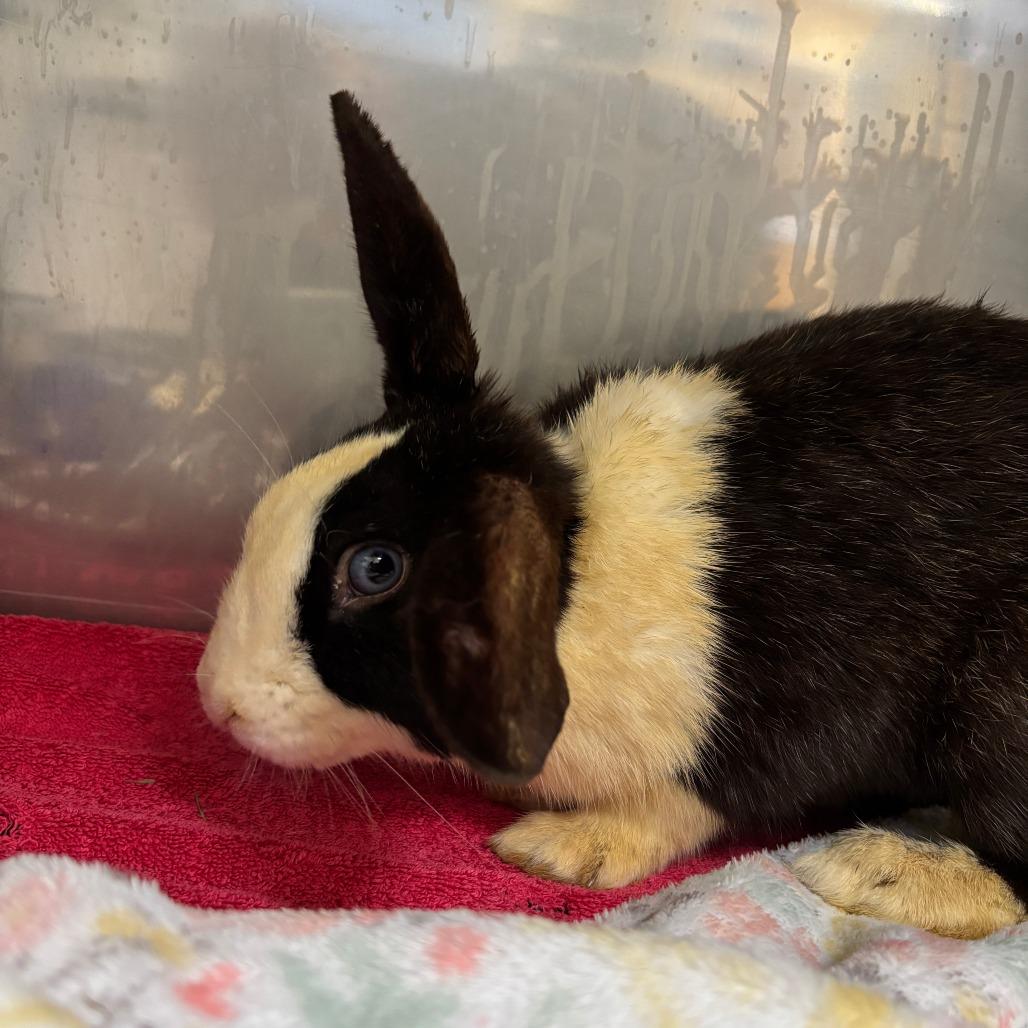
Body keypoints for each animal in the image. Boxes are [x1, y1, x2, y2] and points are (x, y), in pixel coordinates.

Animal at [197, 90, 1028, 940]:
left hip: (999, 710)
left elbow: (682, 805)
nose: (216, 699)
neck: (577, 568)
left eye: (374, 568)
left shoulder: (770, 730)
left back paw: (873, 869)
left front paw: (562, 848)